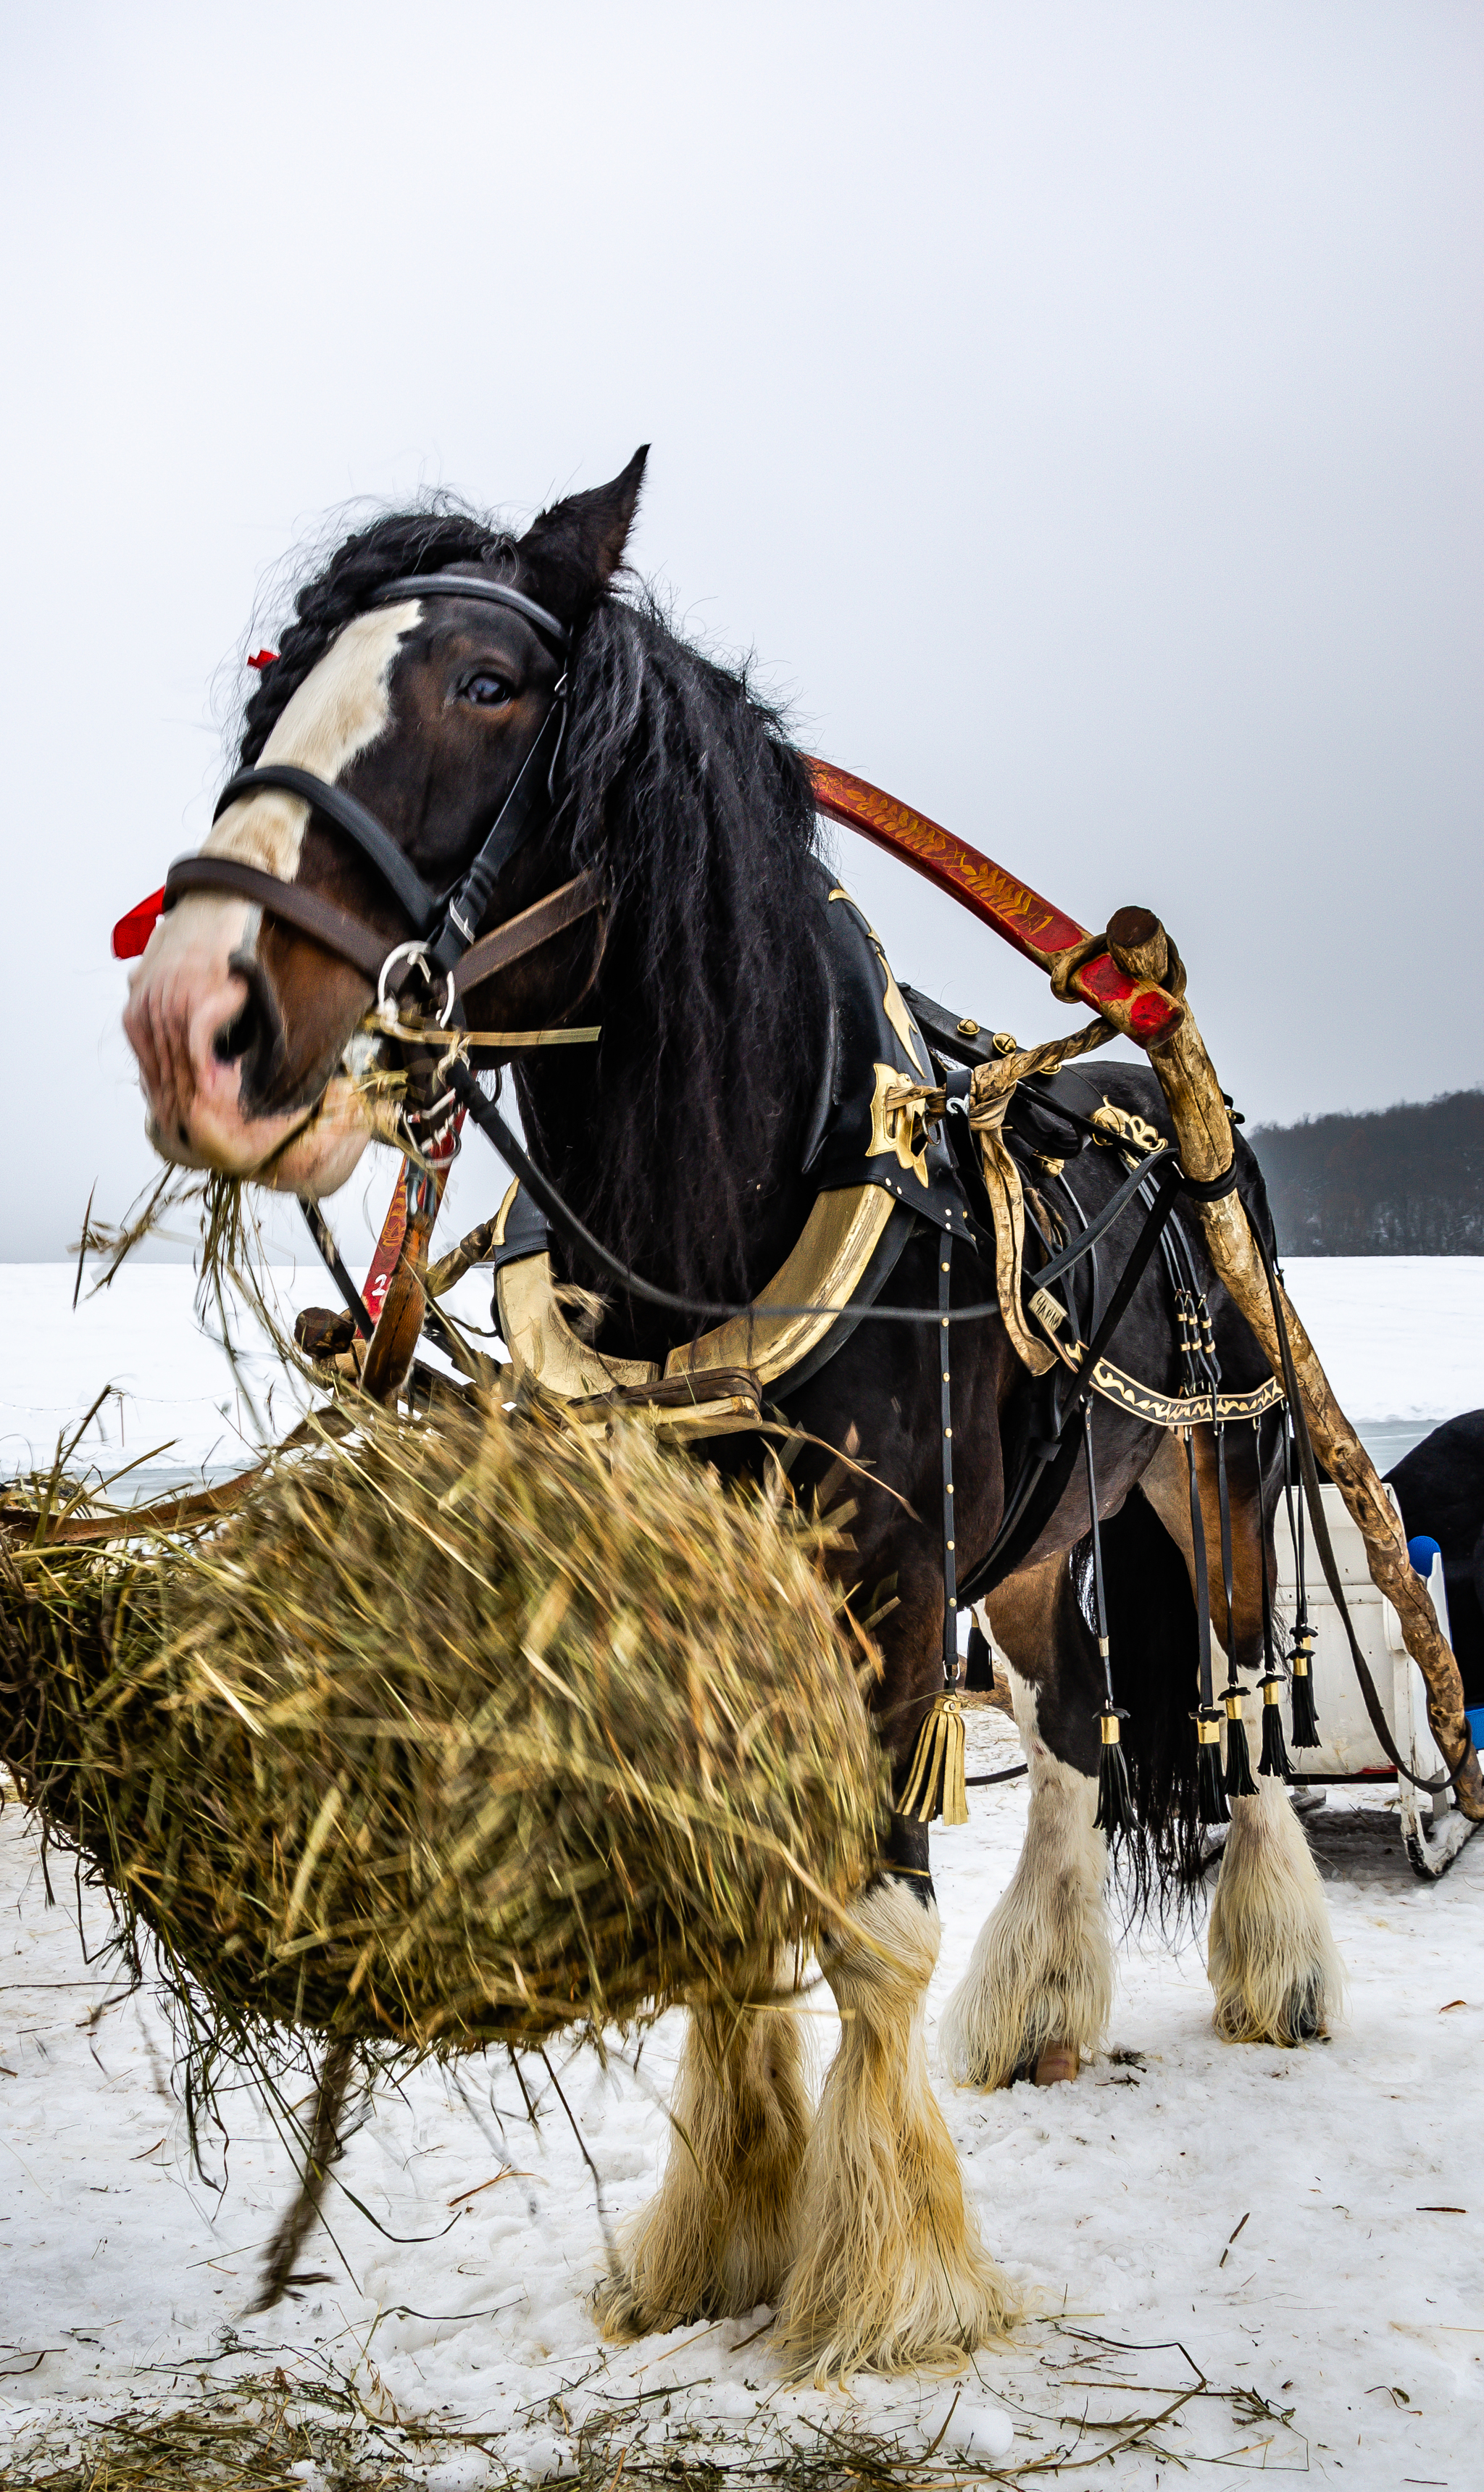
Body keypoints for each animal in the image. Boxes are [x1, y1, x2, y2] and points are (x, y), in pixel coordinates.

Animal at [122, 458, 1334, 2382]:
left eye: (487, 685)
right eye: (269, 693)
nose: (190, 1019)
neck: (725, 1210)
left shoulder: (889, 1582)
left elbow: (874, 1924)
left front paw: (893, 2278)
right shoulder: (698, 1587)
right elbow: (734, 1901)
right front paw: (716, 2239)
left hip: (1217, 1478)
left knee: (1244, 1706)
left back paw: (1276, 1973)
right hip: (1036, 1548)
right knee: (1074, 1732)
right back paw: (1041, 2006)